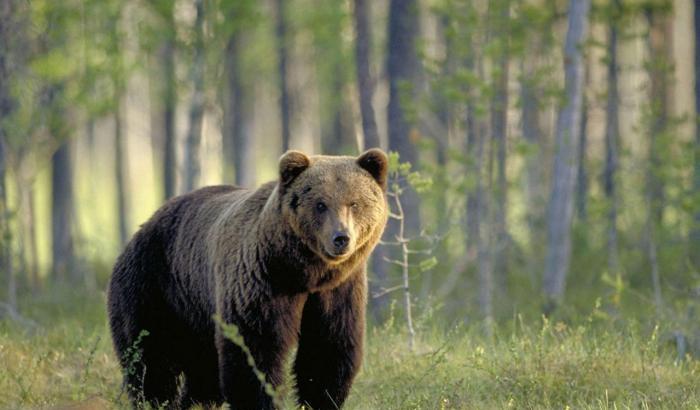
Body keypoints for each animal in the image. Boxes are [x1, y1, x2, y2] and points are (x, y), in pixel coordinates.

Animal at [106, 149, 388, 408]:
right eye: (320, 204)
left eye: (355, 203)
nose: (341, 238)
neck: (305, 273)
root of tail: (143, 226)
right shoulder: (261, 282)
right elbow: (254, 349)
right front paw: (260, 400)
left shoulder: (338, 292)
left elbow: (328, 348)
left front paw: (320, 399)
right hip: (154, 286)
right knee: (150, 355)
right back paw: (156, 400)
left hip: (196, 310)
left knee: (203, 367)